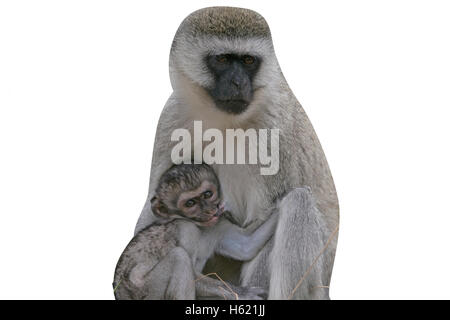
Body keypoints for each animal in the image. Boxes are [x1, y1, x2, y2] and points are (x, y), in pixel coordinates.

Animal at [113, 165, 278, 300]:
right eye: (190, 203)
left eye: (207, 194)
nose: (209, 210)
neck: (201, 228)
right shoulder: (187, 230)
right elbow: (194, 275)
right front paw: (241, 293)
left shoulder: (218, 224)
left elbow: (246, 246)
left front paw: (284, 201)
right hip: (147, 291)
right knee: (179, 257)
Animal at [135, 6, 340, 300]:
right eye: (222, 59)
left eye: (248, 60)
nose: (238, 82)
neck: (225, 120)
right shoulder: (170, 118)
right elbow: (157, 205)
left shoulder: (274, 131)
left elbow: (259, 226)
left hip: (317, 281)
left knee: (298, 202)